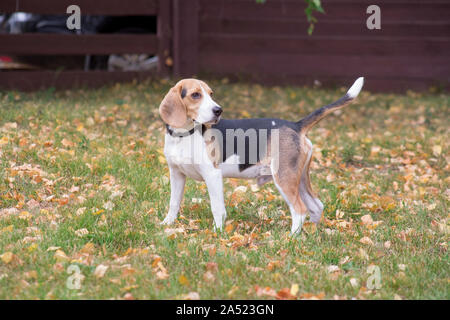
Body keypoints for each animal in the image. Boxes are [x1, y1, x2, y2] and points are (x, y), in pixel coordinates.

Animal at [160, 77, 364, 232]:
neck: (184, 135)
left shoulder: (212, 174)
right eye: (195, 95)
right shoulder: (176, 174)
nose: (218, 110)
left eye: (211, 94)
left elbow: (217, 208)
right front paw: (167, 224)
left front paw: (217, 232)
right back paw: (311, 233)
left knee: (299, 210)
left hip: (284, 177)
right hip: (298, 178)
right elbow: (173, 202)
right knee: (316, 206)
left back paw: (291, 238)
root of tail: (295, 125)